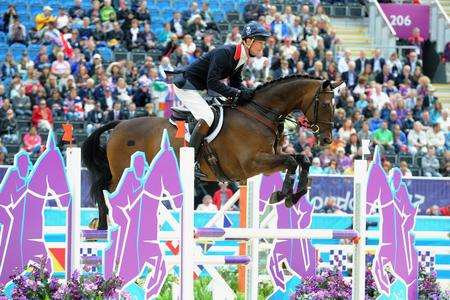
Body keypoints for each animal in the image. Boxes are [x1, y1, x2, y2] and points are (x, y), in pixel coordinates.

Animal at [81, 75, 334, 230]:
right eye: (325, 105)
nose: (327, 139)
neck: (260, 113)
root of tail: (120, 125)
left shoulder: (267, 163)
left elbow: (302, 159)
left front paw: (296, 195)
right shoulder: (252, 163)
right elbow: (291, 161)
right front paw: (283, 195)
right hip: (123, 171)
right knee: (105, 190)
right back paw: (102, 225)